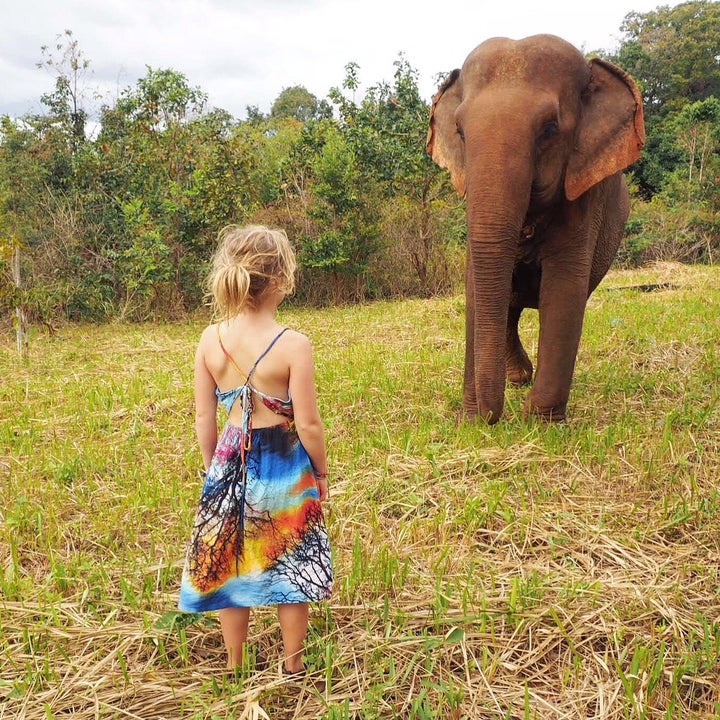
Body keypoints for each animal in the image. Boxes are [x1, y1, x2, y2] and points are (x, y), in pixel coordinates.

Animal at [428, 33, 648, 424]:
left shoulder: (584, 196)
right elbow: (475, 287)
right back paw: (517, 378)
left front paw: (540, 422)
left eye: (550, 129)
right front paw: (471, 420)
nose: (489, 418)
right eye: (460, 132)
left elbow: (563, 289)